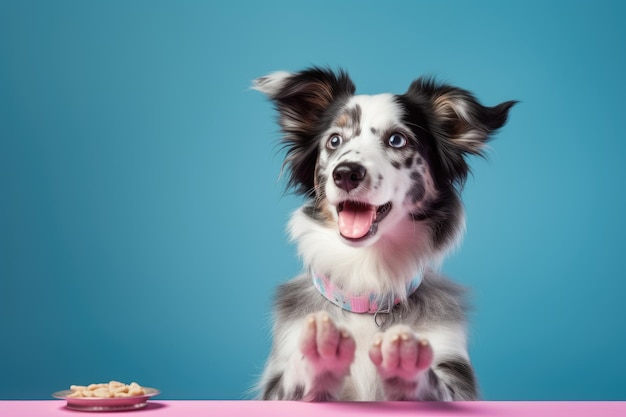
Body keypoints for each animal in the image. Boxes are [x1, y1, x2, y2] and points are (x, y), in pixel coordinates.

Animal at [251, 67, 516, 400]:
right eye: (334, 140)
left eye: (397, 140)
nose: (346, 173)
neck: (368, 284)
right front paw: (317, 357)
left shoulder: (455, 376)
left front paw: (407, 365)